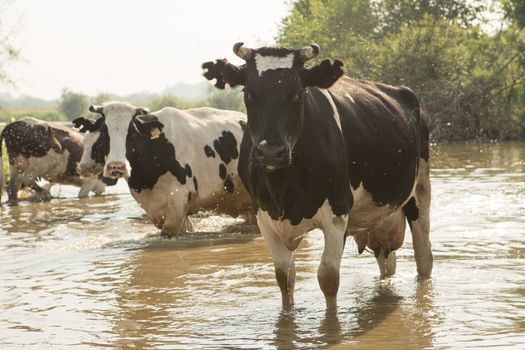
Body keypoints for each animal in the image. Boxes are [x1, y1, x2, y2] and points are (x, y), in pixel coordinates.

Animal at [203, 43, 432, 308]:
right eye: (248, 94)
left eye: (297, 93)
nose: (270, 152)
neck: (283, 185)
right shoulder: (264, 216)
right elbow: (284, 276)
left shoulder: (337, 212)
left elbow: (328, 277)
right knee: (388, 263)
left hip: (420, 192)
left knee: (424, 256)